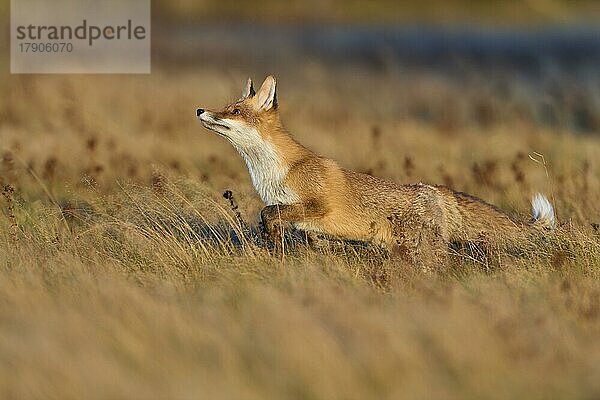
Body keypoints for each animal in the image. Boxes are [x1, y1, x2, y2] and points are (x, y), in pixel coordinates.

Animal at [196, 75, 552, 262]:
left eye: (234, 111)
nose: (200, 110)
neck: (275, 171)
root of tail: (434, 190)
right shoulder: (309, 226)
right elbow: (284, 224)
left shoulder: (318, 205)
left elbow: (268, 212)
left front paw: (271, 236)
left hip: (421, 254)